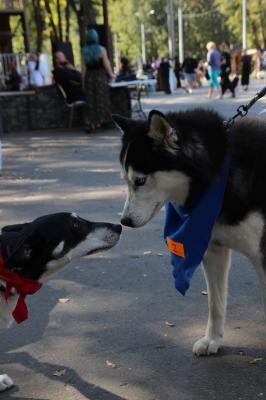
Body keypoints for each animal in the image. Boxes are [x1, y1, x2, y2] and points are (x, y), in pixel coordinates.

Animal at [112, 108, 266, 356]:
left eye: (140, 180)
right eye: (125, 180)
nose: (124, 221)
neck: (219, 170)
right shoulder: (212, 250)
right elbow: (215, 303)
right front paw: (212, 339)